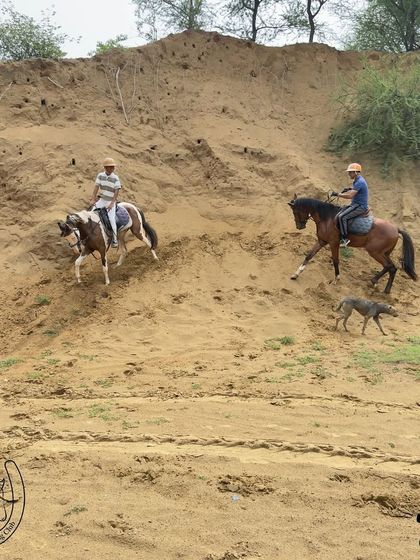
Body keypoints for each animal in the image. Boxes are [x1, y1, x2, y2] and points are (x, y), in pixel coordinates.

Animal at [288, 195, 417, 294]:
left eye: (295, 212)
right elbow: (309, 255)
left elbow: (336, 260)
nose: (299, 226)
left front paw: (336, 279)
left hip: (375, 252)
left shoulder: (333, 243)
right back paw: (383, 288)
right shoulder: (322, 241)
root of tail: (396, 229)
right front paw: (296, 274)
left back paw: (377, 283)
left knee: (389, 266)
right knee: (391, 267)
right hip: (384, 253)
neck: (326, 218)